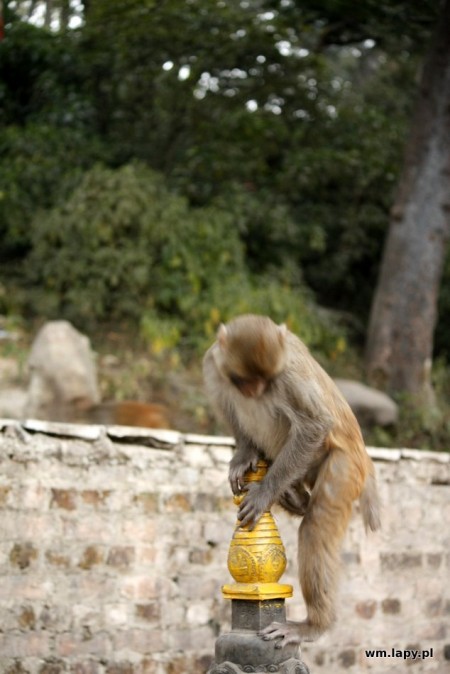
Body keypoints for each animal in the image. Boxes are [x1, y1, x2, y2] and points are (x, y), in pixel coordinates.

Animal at [203, 316, 380, 644]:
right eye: (244, 381)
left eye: (265, 381)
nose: (255, 391)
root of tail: (365, 458)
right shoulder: (212, 366)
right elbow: (227, 407)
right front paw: (244, 454)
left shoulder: (288, 378)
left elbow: (314, 424)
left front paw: (264, 493)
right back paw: (297, 498)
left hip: (344, 465)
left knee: (314, 529)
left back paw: (313, 625)